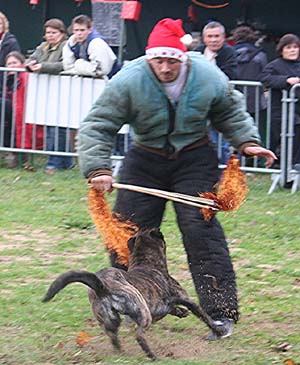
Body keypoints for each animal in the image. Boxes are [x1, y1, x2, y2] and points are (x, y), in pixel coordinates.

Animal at [42, 226, 225, 360]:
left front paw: (181, 312)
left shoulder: (163, 305)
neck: (147, 262)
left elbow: (173, 308)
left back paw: (121, 353)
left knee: (114, 338)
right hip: (143, 313)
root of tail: (103, 287)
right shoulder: (186, 299)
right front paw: (218, 330)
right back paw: (152, 356)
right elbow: (205, 317)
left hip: (111, 321)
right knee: (139, 335)